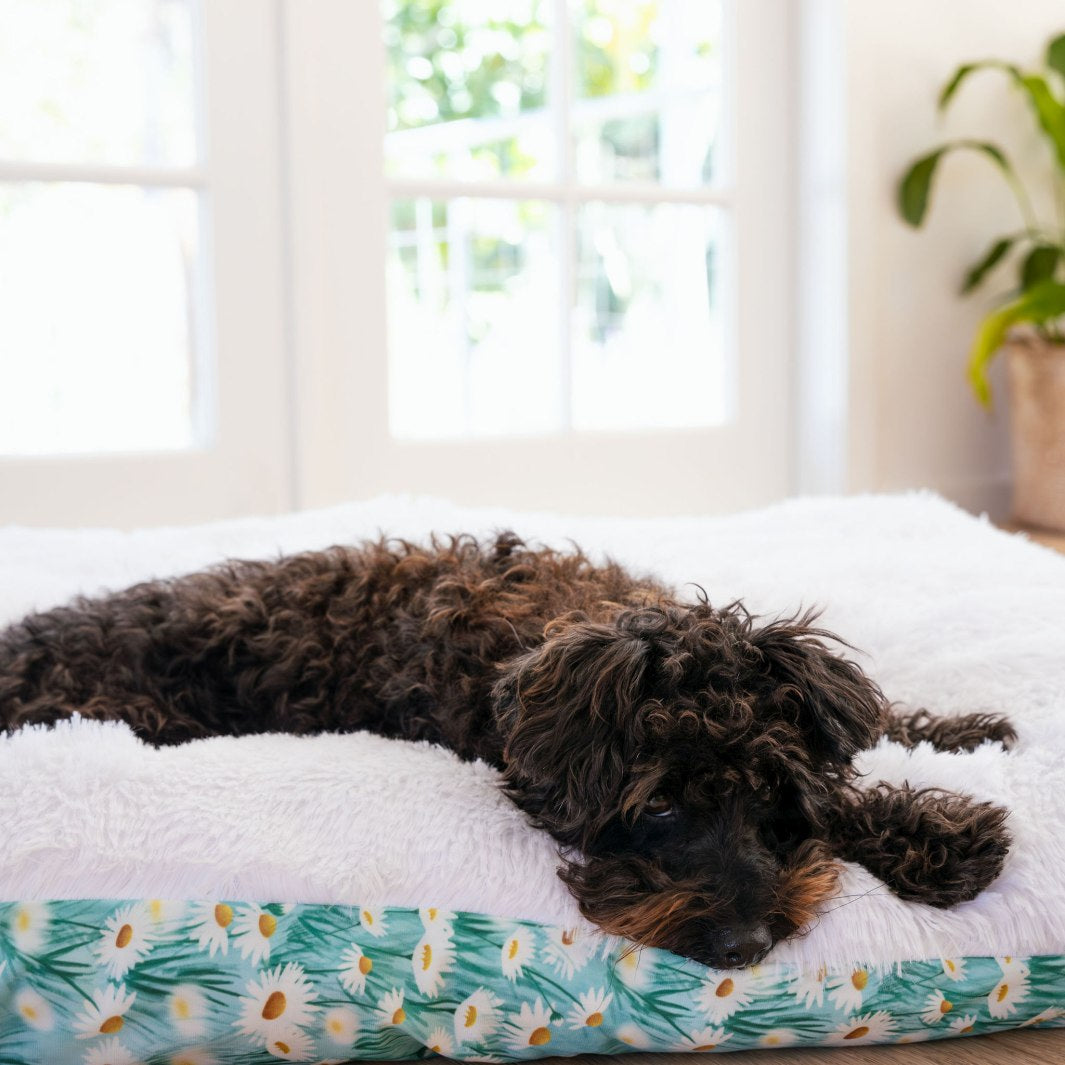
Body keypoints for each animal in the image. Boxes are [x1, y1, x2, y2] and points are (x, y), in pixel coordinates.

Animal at [2, 528, 1013, 971]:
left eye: (768, 792)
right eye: (656, 805)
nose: (748, 944)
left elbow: (869, 726)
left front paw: (955, 747)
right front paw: (931, 828)